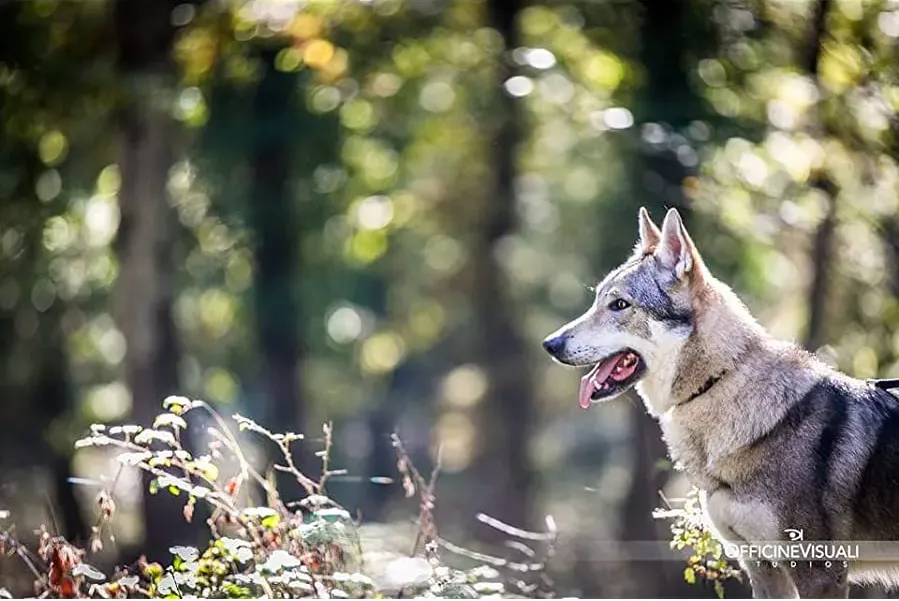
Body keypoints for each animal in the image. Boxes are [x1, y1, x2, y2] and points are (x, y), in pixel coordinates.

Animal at [543, 207, 899, 599]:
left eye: (619, 305)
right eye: (597, 301)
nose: (550, 344)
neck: (717, 382)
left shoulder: (819, 574)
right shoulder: (761, 568)